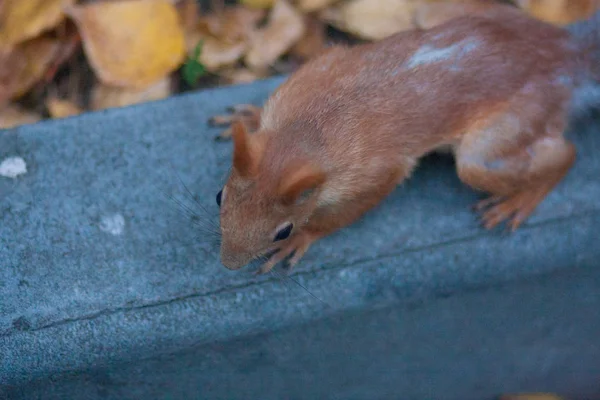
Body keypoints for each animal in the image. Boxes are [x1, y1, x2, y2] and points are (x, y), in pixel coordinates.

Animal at [210, 1, 600, 274]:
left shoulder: (377, 172)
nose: (228, 264)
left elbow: (353, 208)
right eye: (219, 196)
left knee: (564, 152)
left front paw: (306, 237)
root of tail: (564, 52)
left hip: (508, 130)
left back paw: (520, 200)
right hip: (441, 13)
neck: (308, 130)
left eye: (284, 230)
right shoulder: (310, 77)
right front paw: (250, 117)